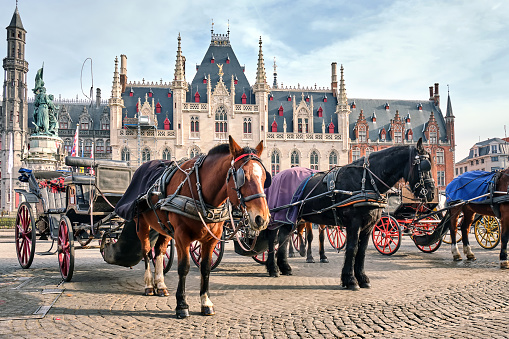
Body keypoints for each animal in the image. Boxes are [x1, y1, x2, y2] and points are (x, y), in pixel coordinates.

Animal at [134, 136, 270, 318]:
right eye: (244, 176)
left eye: (264, 177)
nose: (262, 218)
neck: (202, 194)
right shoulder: (181, 237)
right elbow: (183, 268)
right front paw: (182, 305)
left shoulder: (210, 240)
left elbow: (205, 268)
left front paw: (206, 302)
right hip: (142, 224)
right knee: (147, 252)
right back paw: (149, 285)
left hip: (164, 228)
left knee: (160, 251)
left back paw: (160, 286)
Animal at [264, 139, 434, 290]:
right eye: (424, 165)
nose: (431, 193)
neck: (365, 180)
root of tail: (276, 176)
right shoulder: (354, 223)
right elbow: (352, 248)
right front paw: (350, 280)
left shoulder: (368, 226)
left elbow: (362, 251)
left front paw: (363, 278)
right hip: (279, 215)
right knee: (273, 238)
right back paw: (273, 268)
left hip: (290, 217)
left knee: (284, 238)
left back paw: (284, 267)